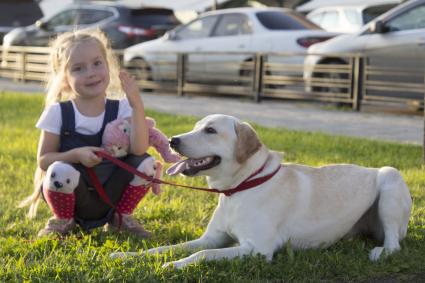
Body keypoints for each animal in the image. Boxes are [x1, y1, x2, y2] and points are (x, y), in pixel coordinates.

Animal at [111, 114, 412, 270]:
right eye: (196, 127)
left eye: (210, 130)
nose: (174, 140)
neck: (240, 188)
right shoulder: (211, 238)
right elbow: (164, 247)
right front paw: (128, 256)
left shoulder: (257, 249)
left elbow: (203, 255)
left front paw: (174, 265)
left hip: (390, 178)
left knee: (394, 244)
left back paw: (380, 252)